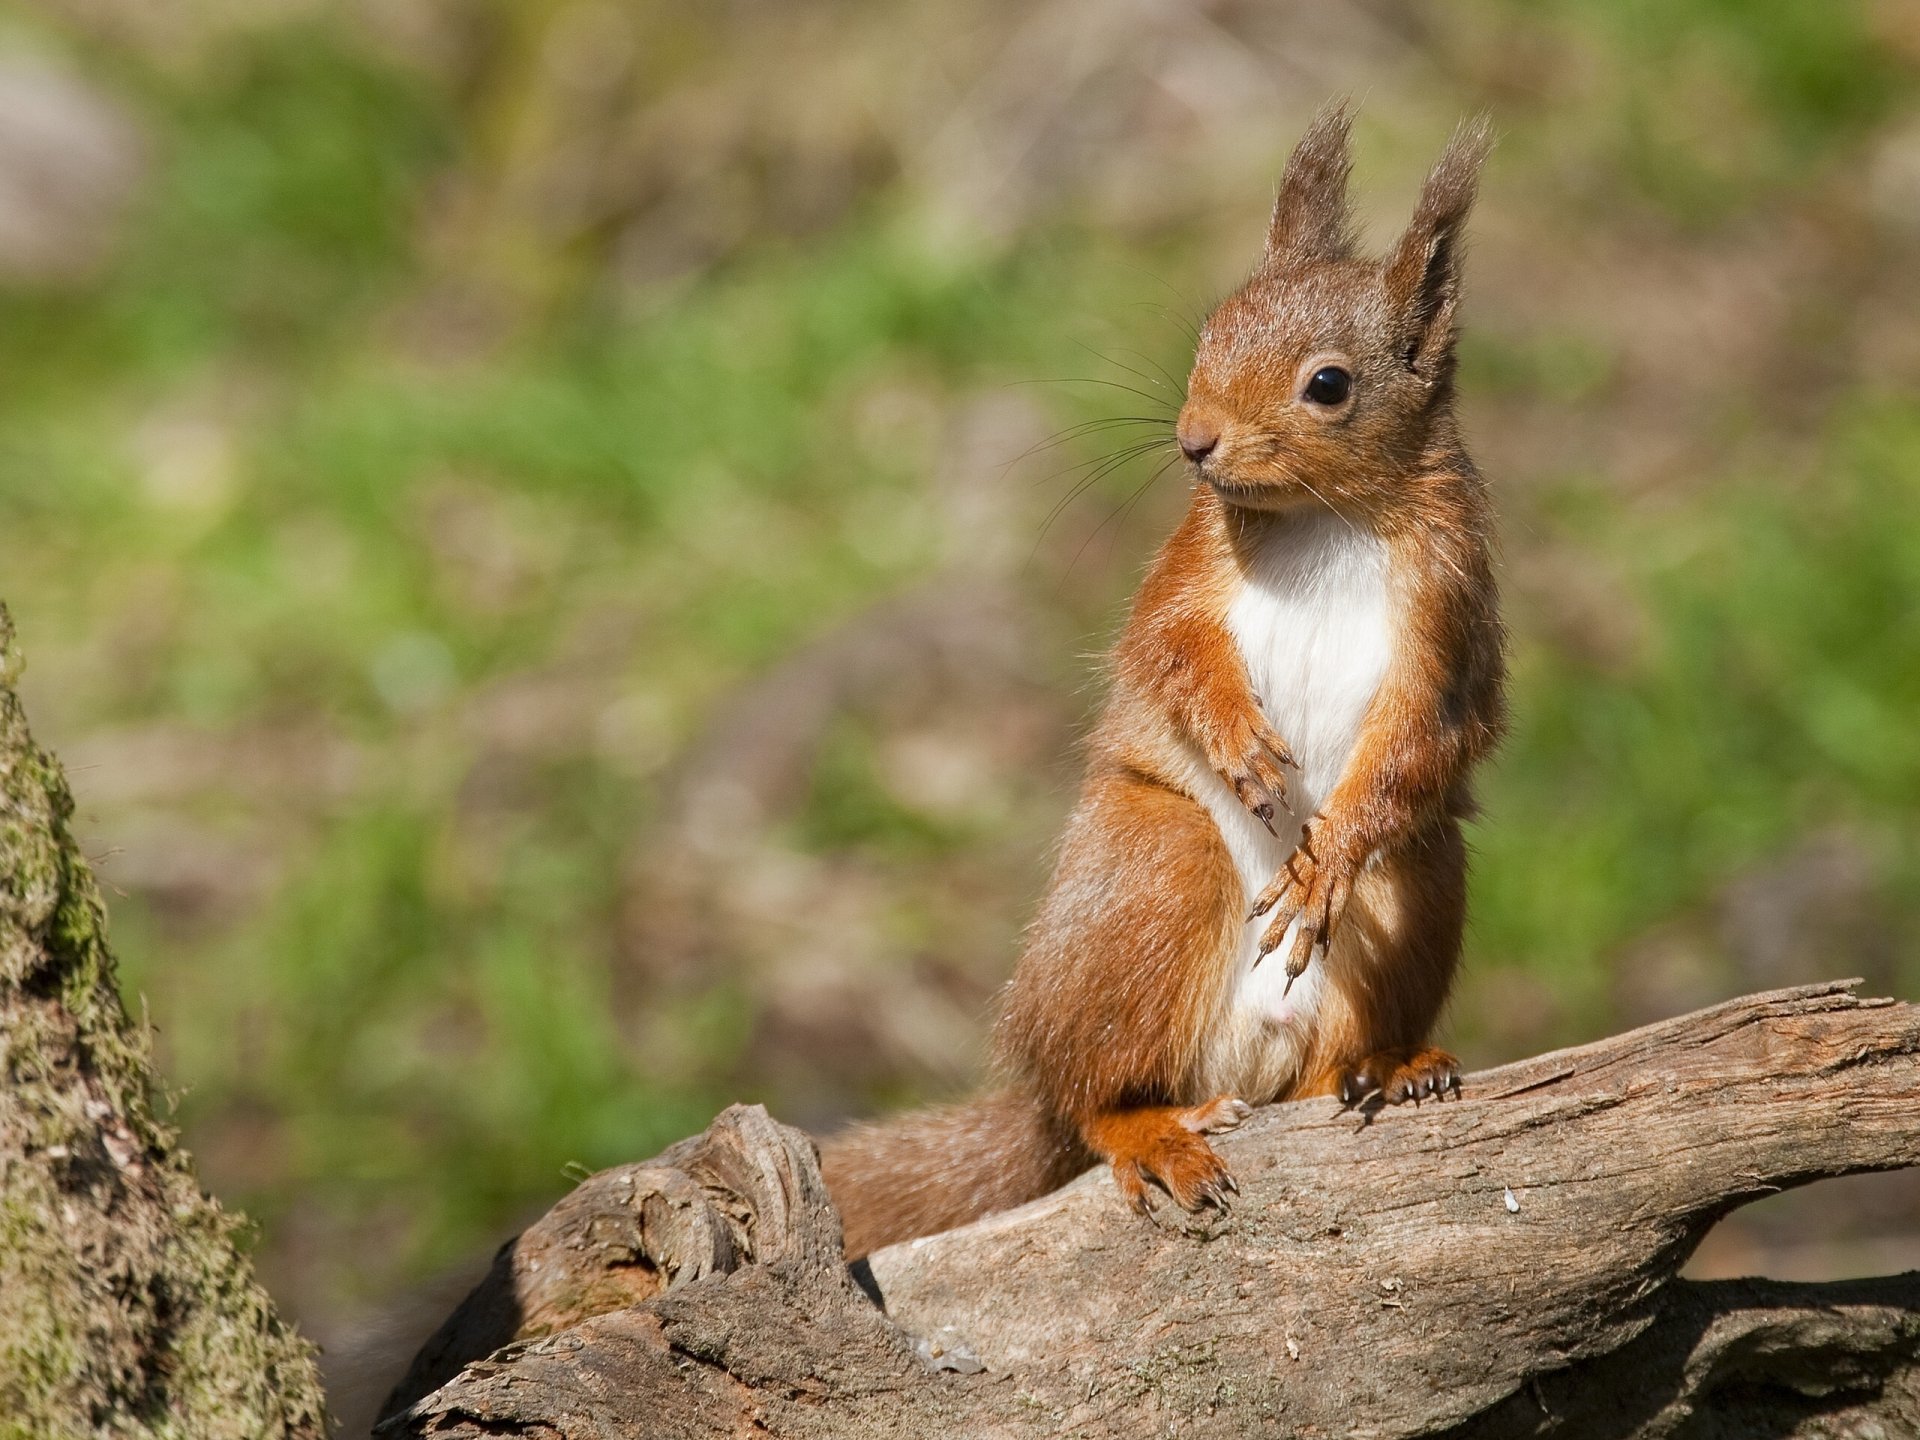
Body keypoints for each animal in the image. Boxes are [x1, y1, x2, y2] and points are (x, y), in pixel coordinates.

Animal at [820, 103, 1507, 1261]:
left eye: (1329, 385)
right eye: (1209, 332)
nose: (1194, 441)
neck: (1326, 518)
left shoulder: (1449, 616)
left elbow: (1430, 732)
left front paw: (1326, 863)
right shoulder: (1188, 569)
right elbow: (1171, 651)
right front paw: (1239, 743)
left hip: (1419, 883)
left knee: (1332, 1039)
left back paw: (1385, 1064)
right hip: (1156, 870)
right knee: (1095, 1101)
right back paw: (1149, 1129)